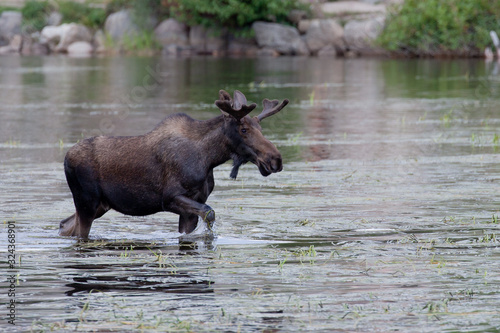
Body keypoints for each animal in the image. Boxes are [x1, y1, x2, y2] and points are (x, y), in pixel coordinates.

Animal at [60, 89, 288, 237]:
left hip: (101, 205)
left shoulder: (191, 207)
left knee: (64, 225)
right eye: (243, 129)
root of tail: (65, 158)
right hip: (87, 201)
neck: (209, 158)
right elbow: (210, 212)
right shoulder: (170, 198)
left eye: (260, 127)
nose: (275, 159)